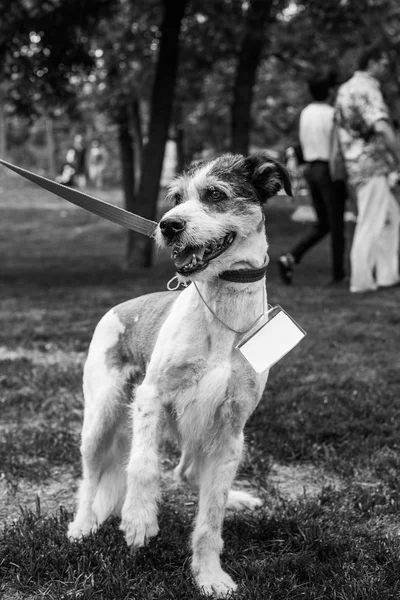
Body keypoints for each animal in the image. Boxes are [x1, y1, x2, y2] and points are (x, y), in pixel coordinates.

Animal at [68, 151, 290, 596]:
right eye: (175, 198)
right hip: (101, 416)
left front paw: (209, 575)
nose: (168, 225)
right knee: (91, 478)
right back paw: (83, 526)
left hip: (200, 427)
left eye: (215, 194)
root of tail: (116, 308)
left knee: (189, 472)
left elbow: (210, 516)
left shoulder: (231, 428)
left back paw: (237, 498)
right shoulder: (151, 396)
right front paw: (138, 520)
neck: (223, 312)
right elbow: (143, 465)